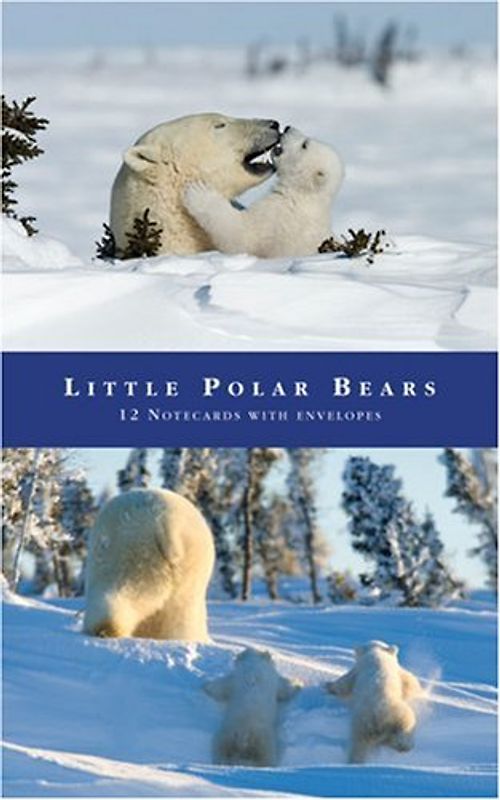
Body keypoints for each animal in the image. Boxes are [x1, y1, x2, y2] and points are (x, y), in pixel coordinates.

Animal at [83, 488, 215, 642]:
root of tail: (164, 522)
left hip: (127, 553)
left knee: (121, 587)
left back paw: (105, 629)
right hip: (180, 567)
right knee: (179, 615)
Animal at [183, 126, 344, 258]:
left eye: (305, 144)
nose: (287, 128)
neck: (302, 195)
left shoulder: (277, 218)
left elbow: (241, 236)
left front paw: (198, 192)